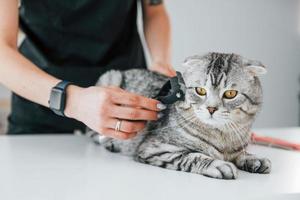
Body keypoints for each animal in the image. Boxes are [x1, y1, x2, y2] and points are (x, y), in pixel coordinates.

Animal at [94, 52, 272, 179]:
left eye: (230, 94)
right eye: (200, 91)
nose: (211, 108)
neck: (222, 136)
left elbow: (242, 154)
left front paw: (254, 159)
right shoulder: (155, 149)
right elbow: (193, 157)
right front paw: (218, 164)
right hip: (110, 77)